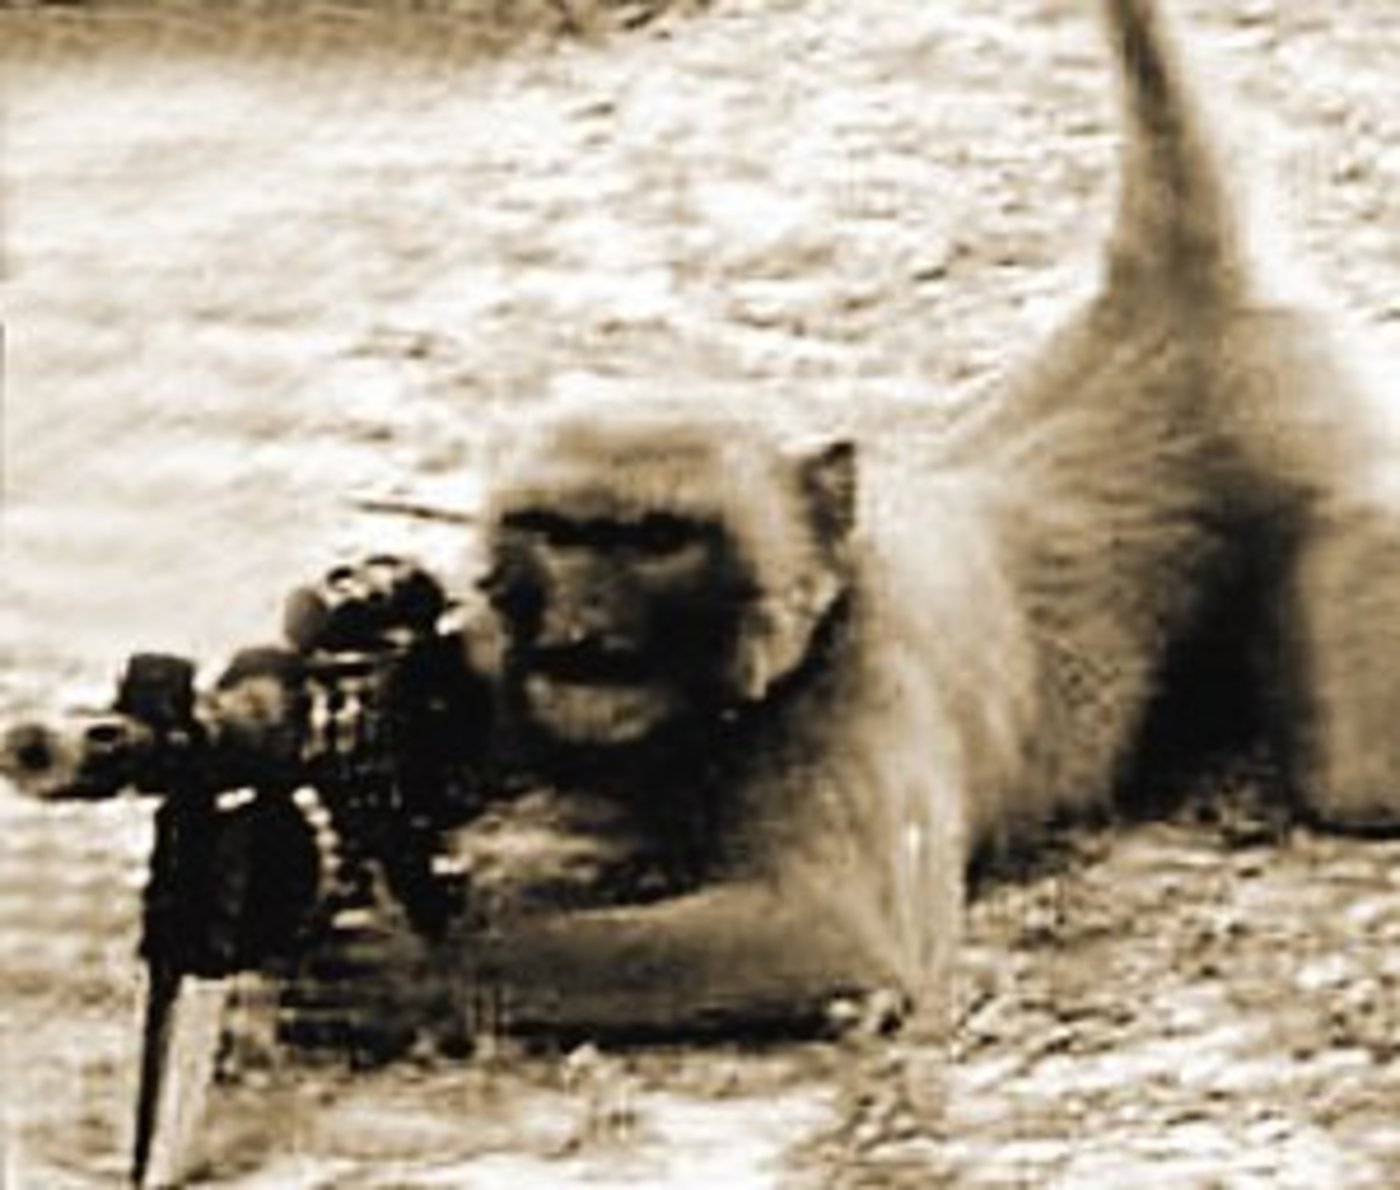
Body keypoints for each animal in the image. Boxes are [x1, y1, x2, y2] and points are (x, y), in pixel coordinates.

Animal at [423, 0, 1400, 1041]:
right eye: (559, 533)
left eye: (655, 541)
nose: (582, 626)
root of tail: (1174, 303)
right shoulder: (500, 653)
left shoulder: (866, 666)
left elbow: (838, 936)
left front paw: (391, 964)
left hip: (1330, 461)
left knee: (1356, 781)